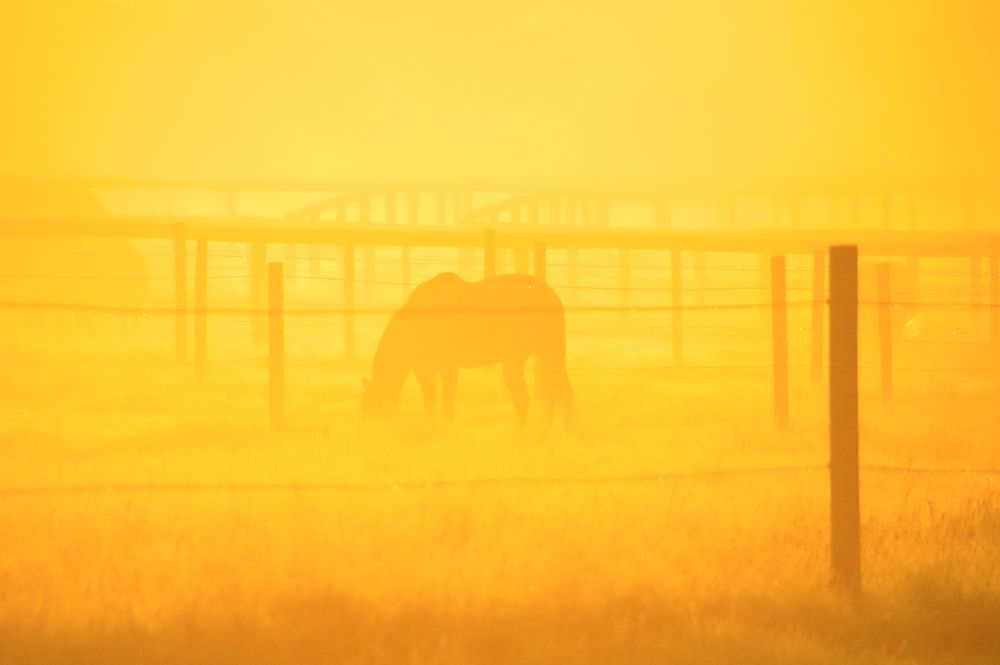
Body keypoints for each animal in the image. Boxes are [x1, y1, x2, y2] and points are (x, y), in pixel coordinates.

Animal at [364, 272, 576, 422]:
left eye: (370, 404)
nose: (368, 424)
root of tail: (553, 296)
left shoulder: (438, 366)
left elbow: (439, 402)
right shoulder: (434, 367)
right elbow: (438, 400)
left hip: (543, 353)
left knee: (551, 394)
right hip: (535, 355)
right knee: (545, 394)